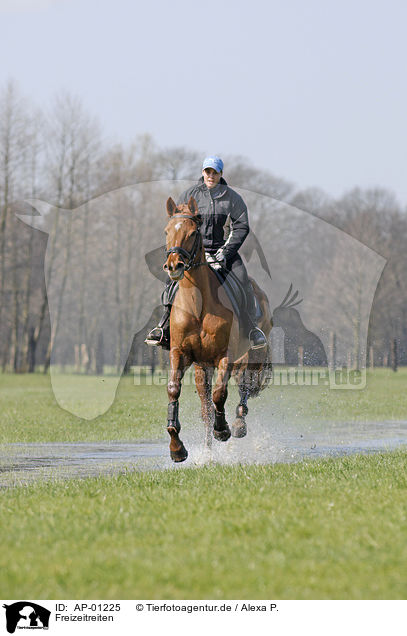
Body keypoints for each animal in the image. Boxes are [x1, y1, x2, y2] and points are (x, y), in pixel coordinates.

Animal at [163, 195, 274, 462]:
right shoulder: (181, 354)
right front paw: (177, 447)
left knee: (244, 386)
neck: (198, 304)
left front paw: (222, 430)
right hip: (203, 367)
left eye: (193, 232)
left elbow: (220, 394)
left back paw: (238, 424)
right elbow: (174, 390)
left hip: (251, 356)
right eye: (167, 231)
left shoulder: (226, 356)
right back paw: (207, 451)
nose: (174, 266)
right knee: (206, 409)